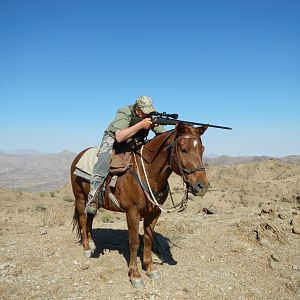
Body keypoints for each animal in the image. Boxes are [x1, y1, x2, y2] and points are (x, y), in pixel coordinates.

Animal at [71, 122, 210, 288]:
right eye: (184, 149)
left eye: (202, 149)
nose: (202, 186)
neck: (148, 172)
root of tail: (78, 156)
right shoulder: (132, 213)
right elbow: (134, 242)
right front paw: (135, 275)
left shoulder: (154, 213)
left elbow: (148, 239)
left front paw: (150, 268)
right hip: (80, 198)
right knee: (82, 218)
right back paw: (86, 248)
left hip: (94, 201)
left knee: (90, 218)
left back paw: (92, 244)